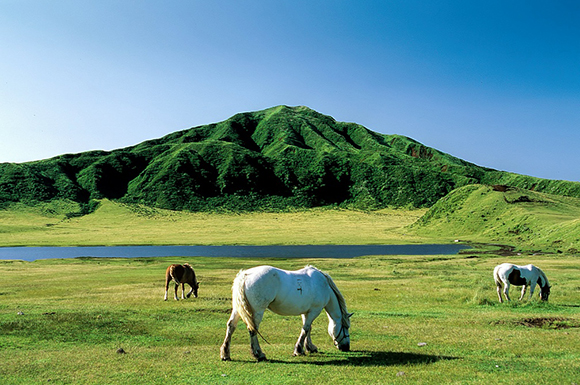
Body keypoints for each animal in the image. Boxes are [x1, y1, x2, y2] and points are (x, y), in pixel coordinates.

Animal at [220, 264, 352, 360]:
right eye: (346, 327)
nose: (346, 347)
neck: (323, 285)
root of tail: (244, 275)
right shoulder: (314, 311)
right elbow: (305, 329)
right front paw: (298, 350)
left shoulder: (306, 312)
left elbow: (308, 329)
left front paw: (309, 347)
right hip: (257, 311)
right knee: (253, 329)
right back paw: (259, 354)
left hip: (237, 310)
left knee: (231, 326)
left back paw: (225, 354)